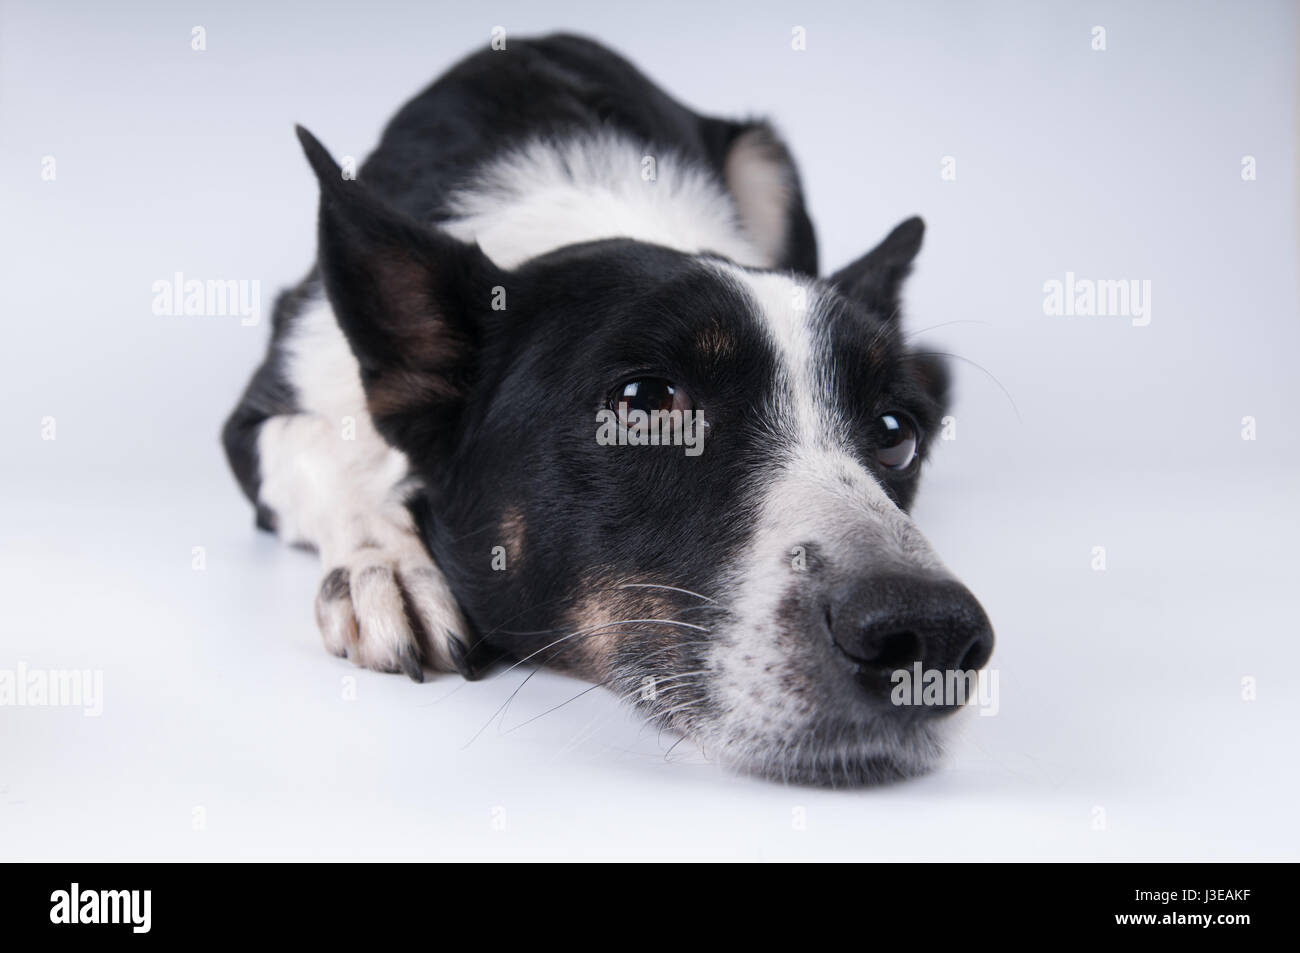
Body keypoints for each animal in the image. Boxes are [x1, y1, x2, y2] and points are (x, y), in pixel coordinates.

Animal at [223, 33, 993, 785]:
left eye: (896, 434)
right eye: (646, 402)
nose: (934, 633)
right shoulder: (268, 402)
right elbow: (335, 452)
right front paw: (385, 567)